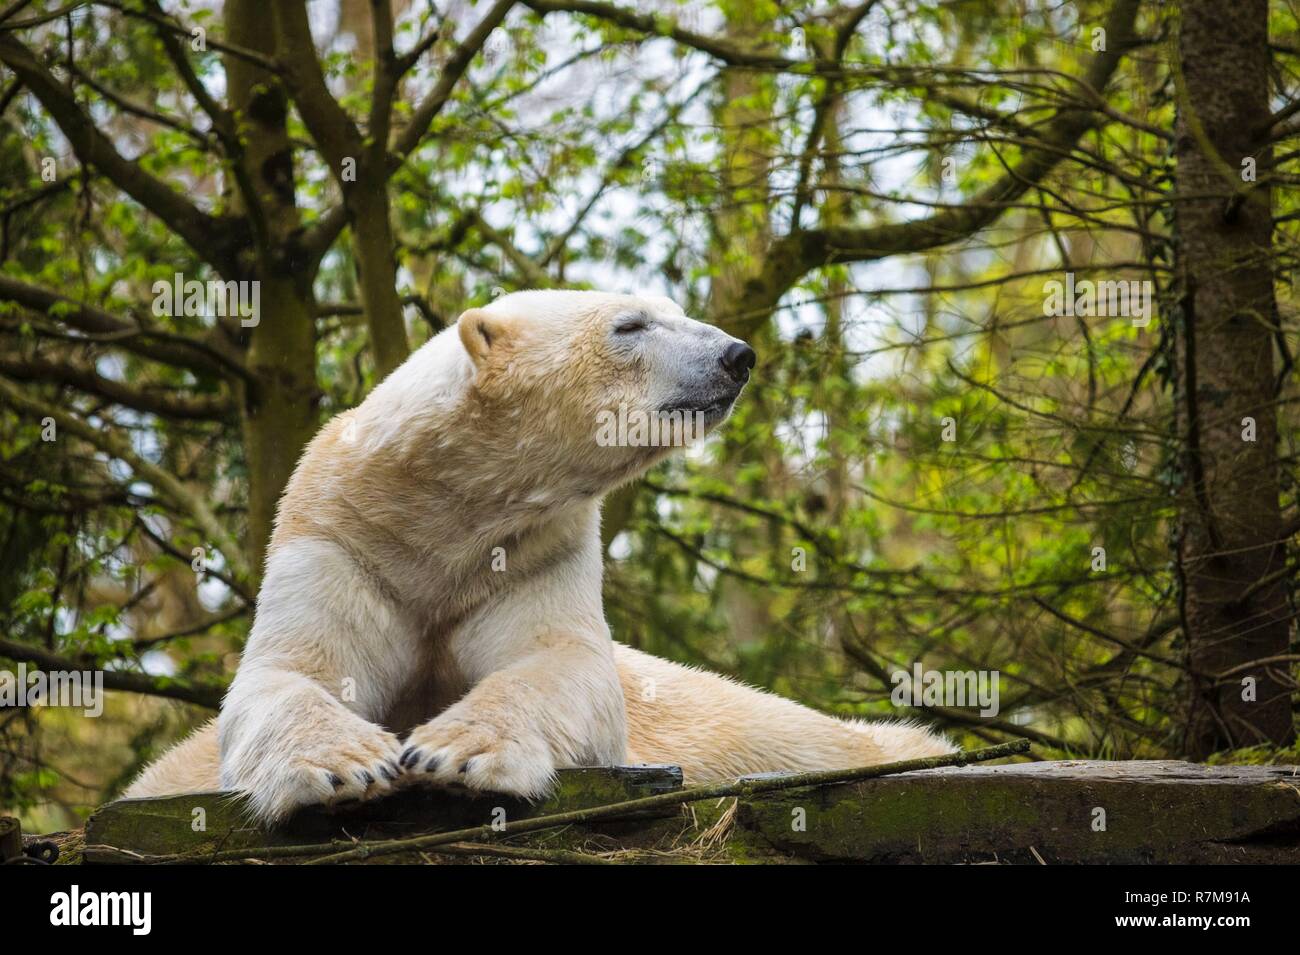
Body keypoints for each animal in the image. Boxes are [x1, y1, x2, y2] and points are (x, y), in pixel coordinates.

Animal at [126, 289, 951, 821]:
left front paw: (453, 751)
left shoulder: (534, 552)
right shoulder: (339, 539)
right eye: (630, 323)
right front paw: (346, 763)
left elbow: (560, 662)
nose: (737, 355)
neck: (443, 514)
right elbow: (290, 673)